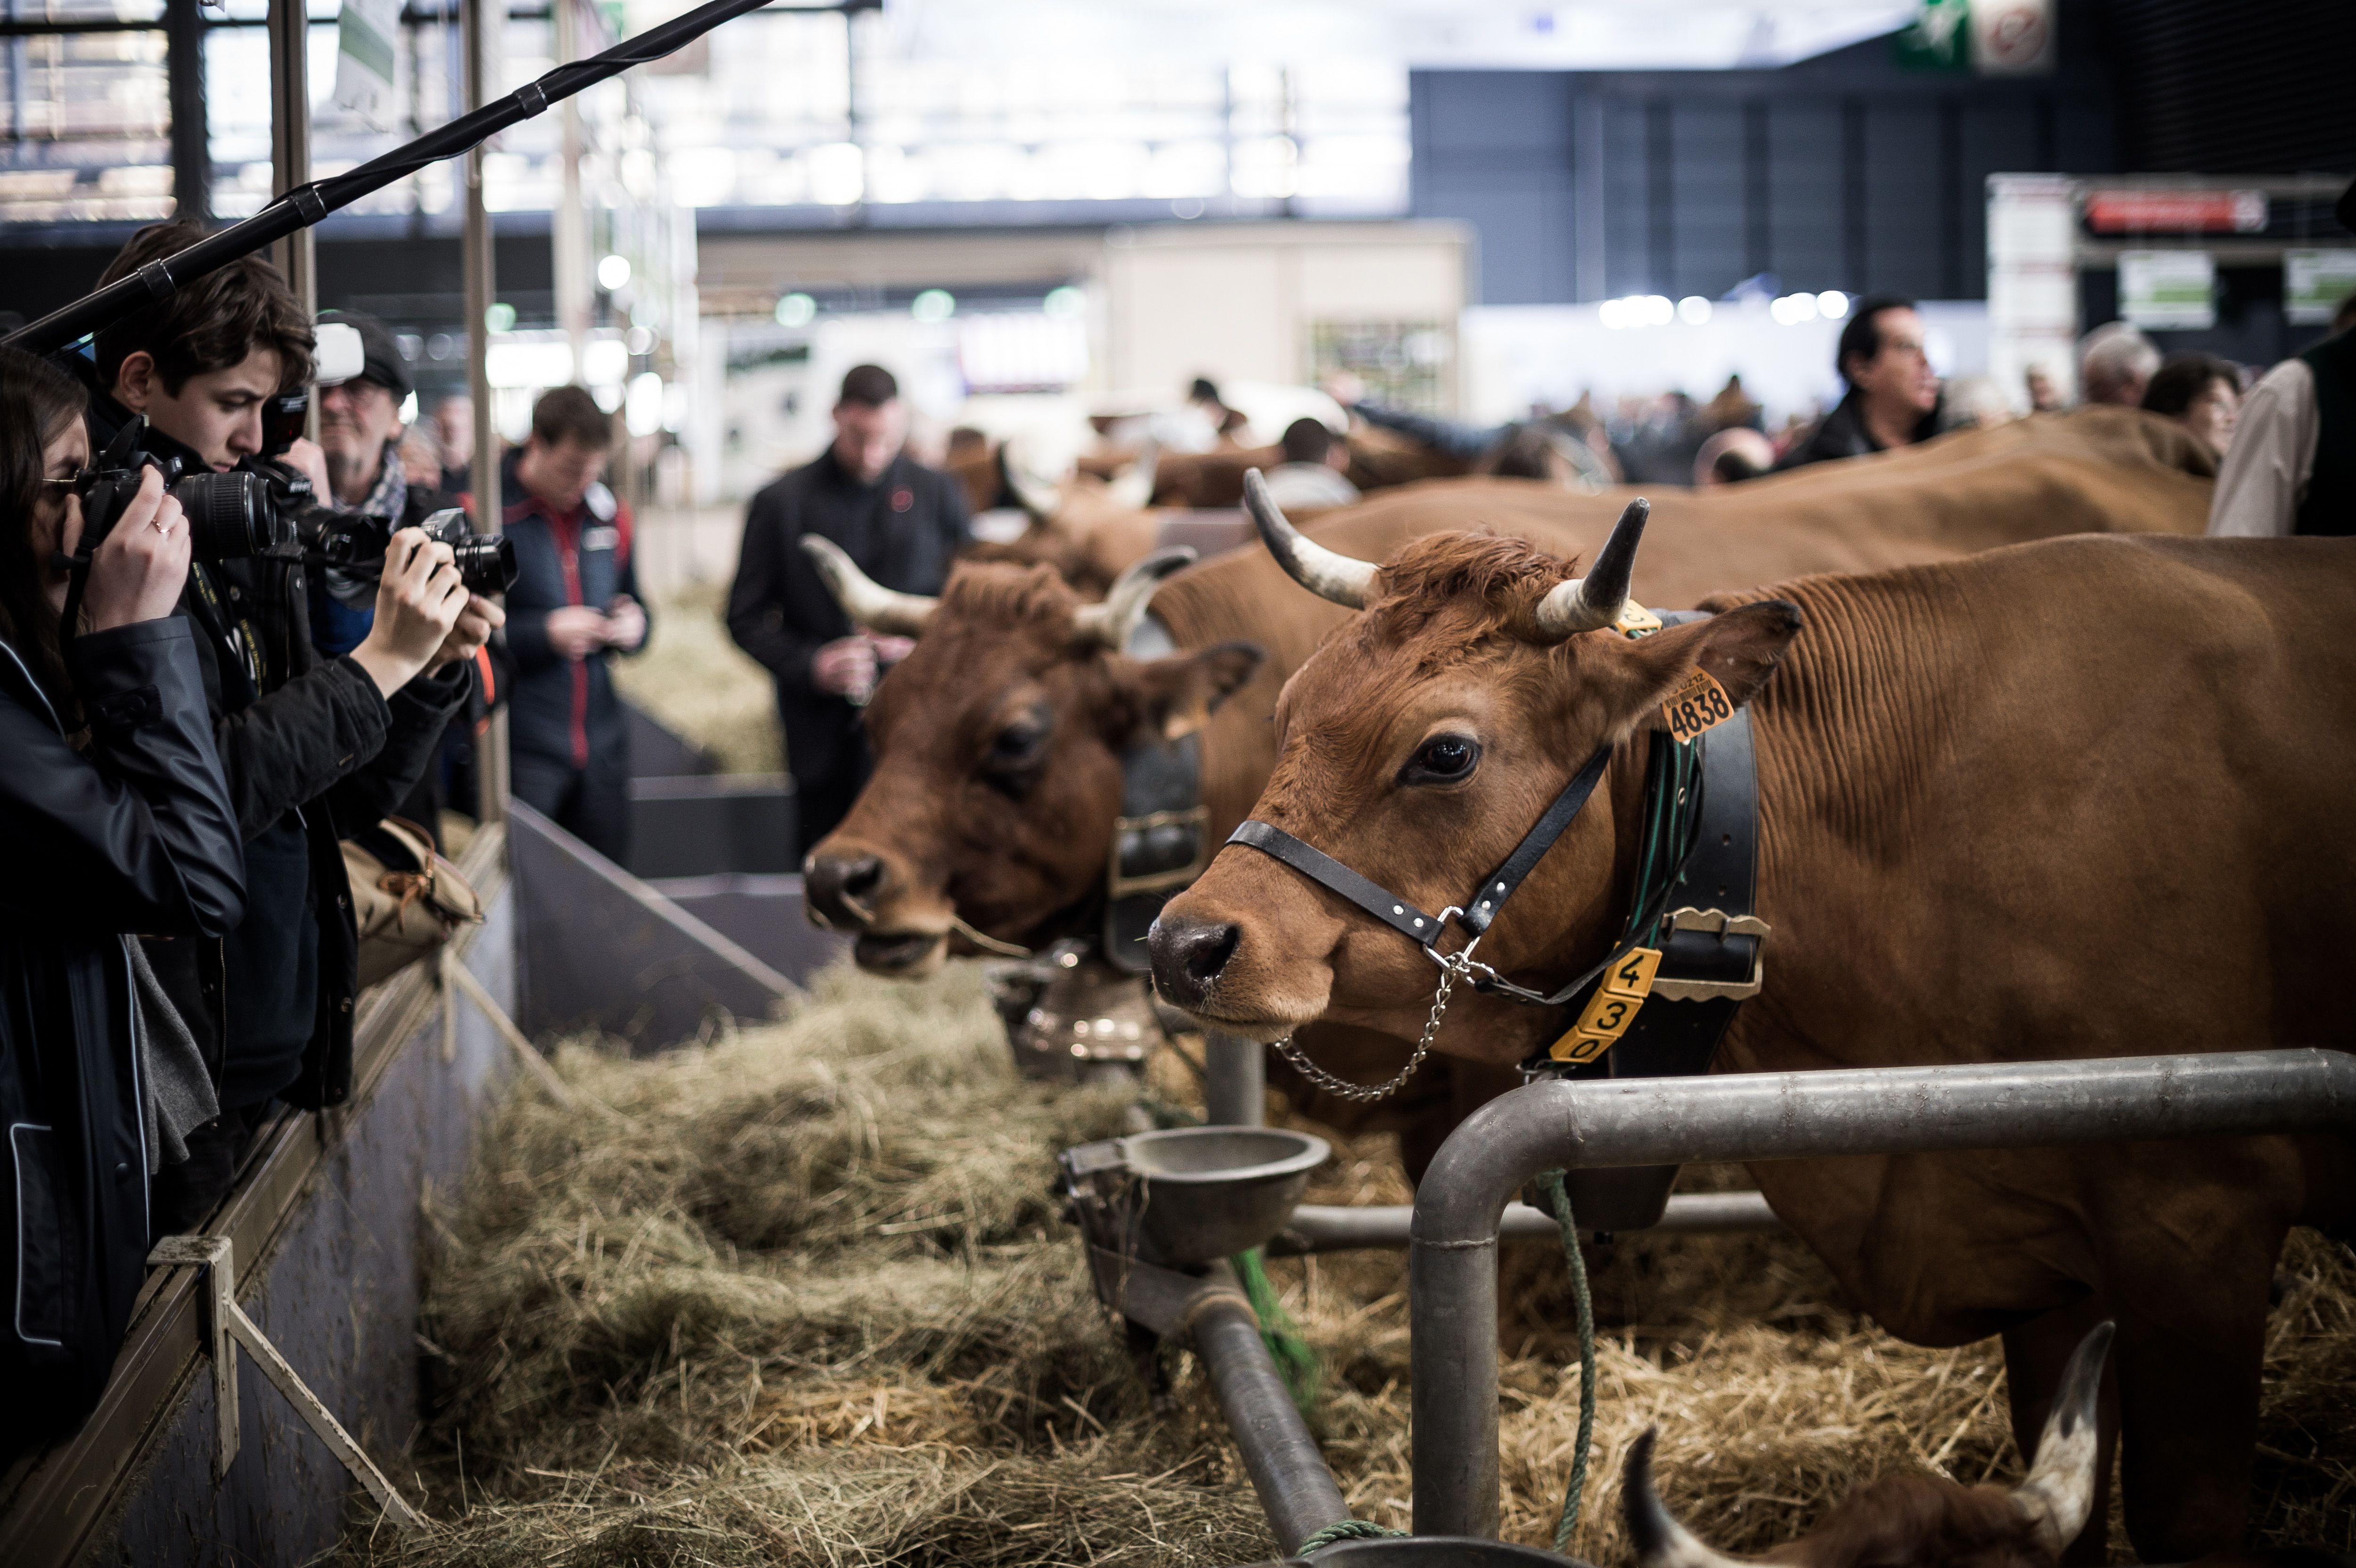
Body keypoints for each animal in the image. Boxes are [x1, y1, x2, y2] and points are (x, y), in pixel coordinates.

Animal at [1150, 504, 2356, 1554]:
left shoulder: (2193, 1219)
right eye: (1288, 710)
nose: (1182, 941)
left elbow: (2185, 1516)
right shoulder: (2039, 1259)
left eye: (1445, 753)